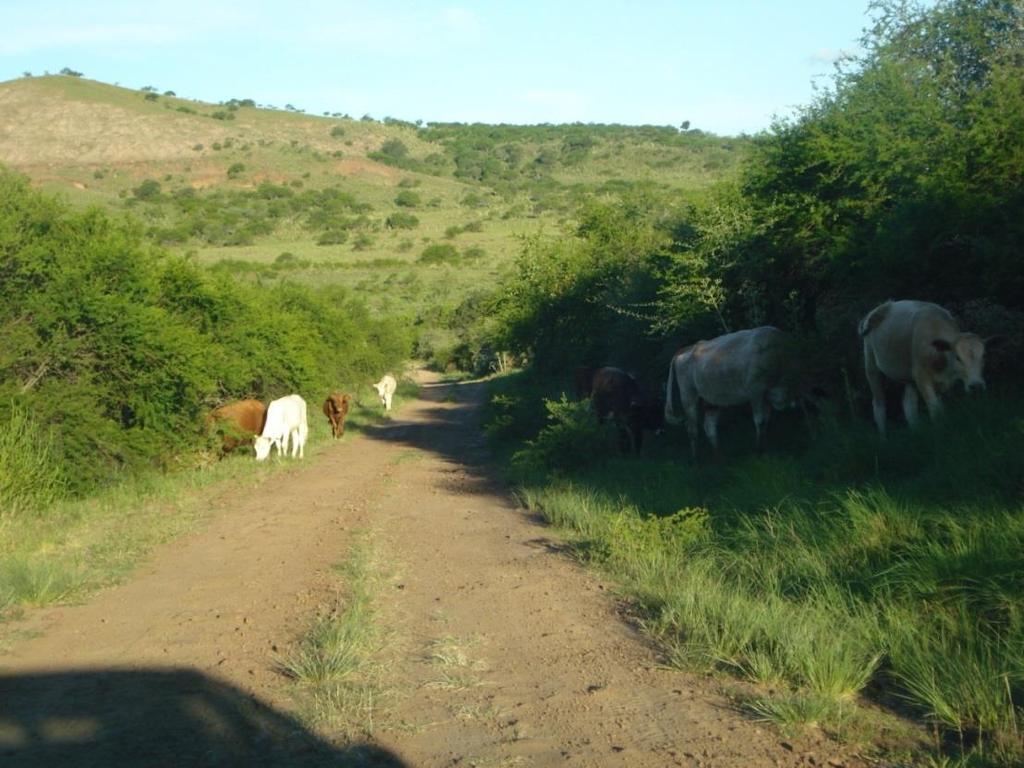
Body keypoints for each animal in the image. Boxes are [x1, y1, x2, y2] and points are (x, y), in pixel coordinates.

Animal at [663, 327, 806, 460]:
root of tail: (688, 348)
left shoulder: (767, 395)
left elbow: (766, 421)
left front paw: (766, 448)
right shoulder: (756, 391)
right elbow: (759, 420)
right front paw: (759, 451)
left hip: (710, 400)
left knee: (709, 427)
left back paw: (719, 458)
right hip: (689, 396)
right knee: (692, 429)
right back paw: (696, 461)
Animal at [860, 296, 995, 436]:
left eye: (984, 355)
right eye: (957, 357)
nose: (976, 386)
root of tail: (884, 305)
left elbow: (940, 409)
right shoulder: (922, 377)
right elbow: (935, 411)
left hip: (908, 377)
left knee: (909, 407)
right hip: (871, 365)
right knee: (879, 405)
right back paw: (883, 437)